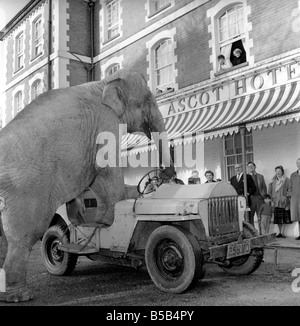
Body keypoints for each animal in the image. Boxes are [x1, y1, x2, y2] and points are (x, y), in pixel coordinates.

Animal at [0, 69, 173, 304]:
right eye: (147, 101)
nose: (164, 174)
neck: (103, 83)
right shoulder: (106, 124)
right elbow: (107, 169)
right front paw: (113, 214)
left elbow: (96, 180)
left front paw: (102, 219)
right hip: (24, 189)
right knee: (24, 235)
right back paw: (20, 295)